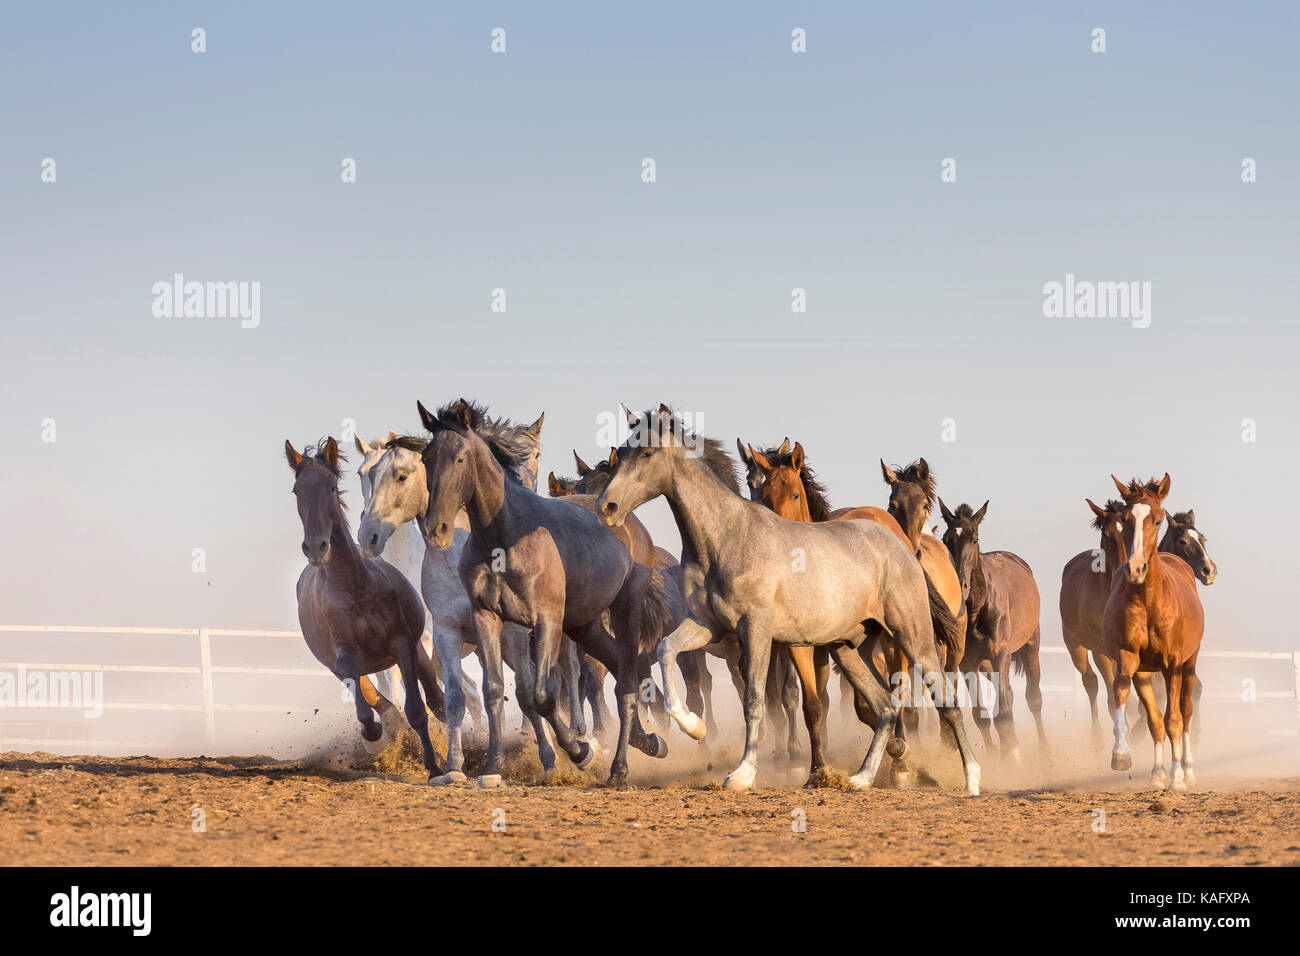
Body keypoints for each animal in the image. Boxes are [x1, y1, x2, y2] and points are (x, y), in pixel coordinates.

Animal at [285, 438, 444, 781]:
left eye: (331, 487)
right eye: (297, 490)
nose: (315, 547)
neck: (355, 586)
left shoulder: (403, 645)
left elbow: (417, 709)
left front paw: (435, 765)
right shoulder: (343, 654)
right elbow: (365, 705)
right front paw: (375, 736)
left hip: (416, 650)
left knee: (435, 699)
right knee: (377, 699)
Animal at [416, 399, 671, 788]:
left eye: (459, 458)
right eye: (427, 458)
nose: (436, 528)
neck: (505, 537)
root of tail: (631, 522)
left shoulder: (546, 620)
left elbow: (542, 695)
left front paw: (581, 752)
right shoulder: (487, 616)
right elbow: (495, 692)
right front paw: (491, 767)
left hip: (625, 610)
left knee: (626, 680)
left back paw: (619, 768)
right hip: (585, 625)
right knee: (616, 668)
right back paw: (650, 742)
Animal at [596, 405, 980, 794]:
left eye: (646, 453)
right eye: (622, 451)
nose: (606, 507)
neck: (726, 537)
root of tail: (903, 546)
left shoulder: (756, 630)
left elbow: (754, 700)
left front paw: (743, 774)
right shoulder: (708, 625)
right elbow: (666, 650)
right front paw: (694, 727)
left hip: (910, 636)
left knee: (945, 702)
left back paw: (970, 779)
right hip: (848, 648)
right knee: (884, 707)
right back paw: (861, 777)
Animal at [937, 499, 1048, 761]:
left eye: (974, 539)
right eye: (946, 539)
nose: (961, 586)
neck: (979, 608)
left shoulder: (1001, 655)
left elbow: (1005, 711)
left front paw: (1012, 753)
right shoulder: (968, 664)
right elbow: (981, 715)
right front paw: (995, 753)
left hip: (1030, 648)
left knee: (1033, 698)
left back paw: (1044, 750)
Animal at [1102, 474, 1205, 790]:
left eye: (1158, 520)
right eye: (1125, 519)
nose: (1136, 568)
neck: (1149, 601)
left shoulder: (1173, 664)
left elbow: (1174, 719)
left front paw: (1177, 777)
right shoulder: (1130, 659)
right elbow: (1127, 698)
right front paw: (1122, 755)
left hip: (1189, 664)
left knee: (1186, 711)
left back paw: (1188, 769)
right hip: (1147, 673)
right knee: (1156, 718)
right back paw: (1158, 771)